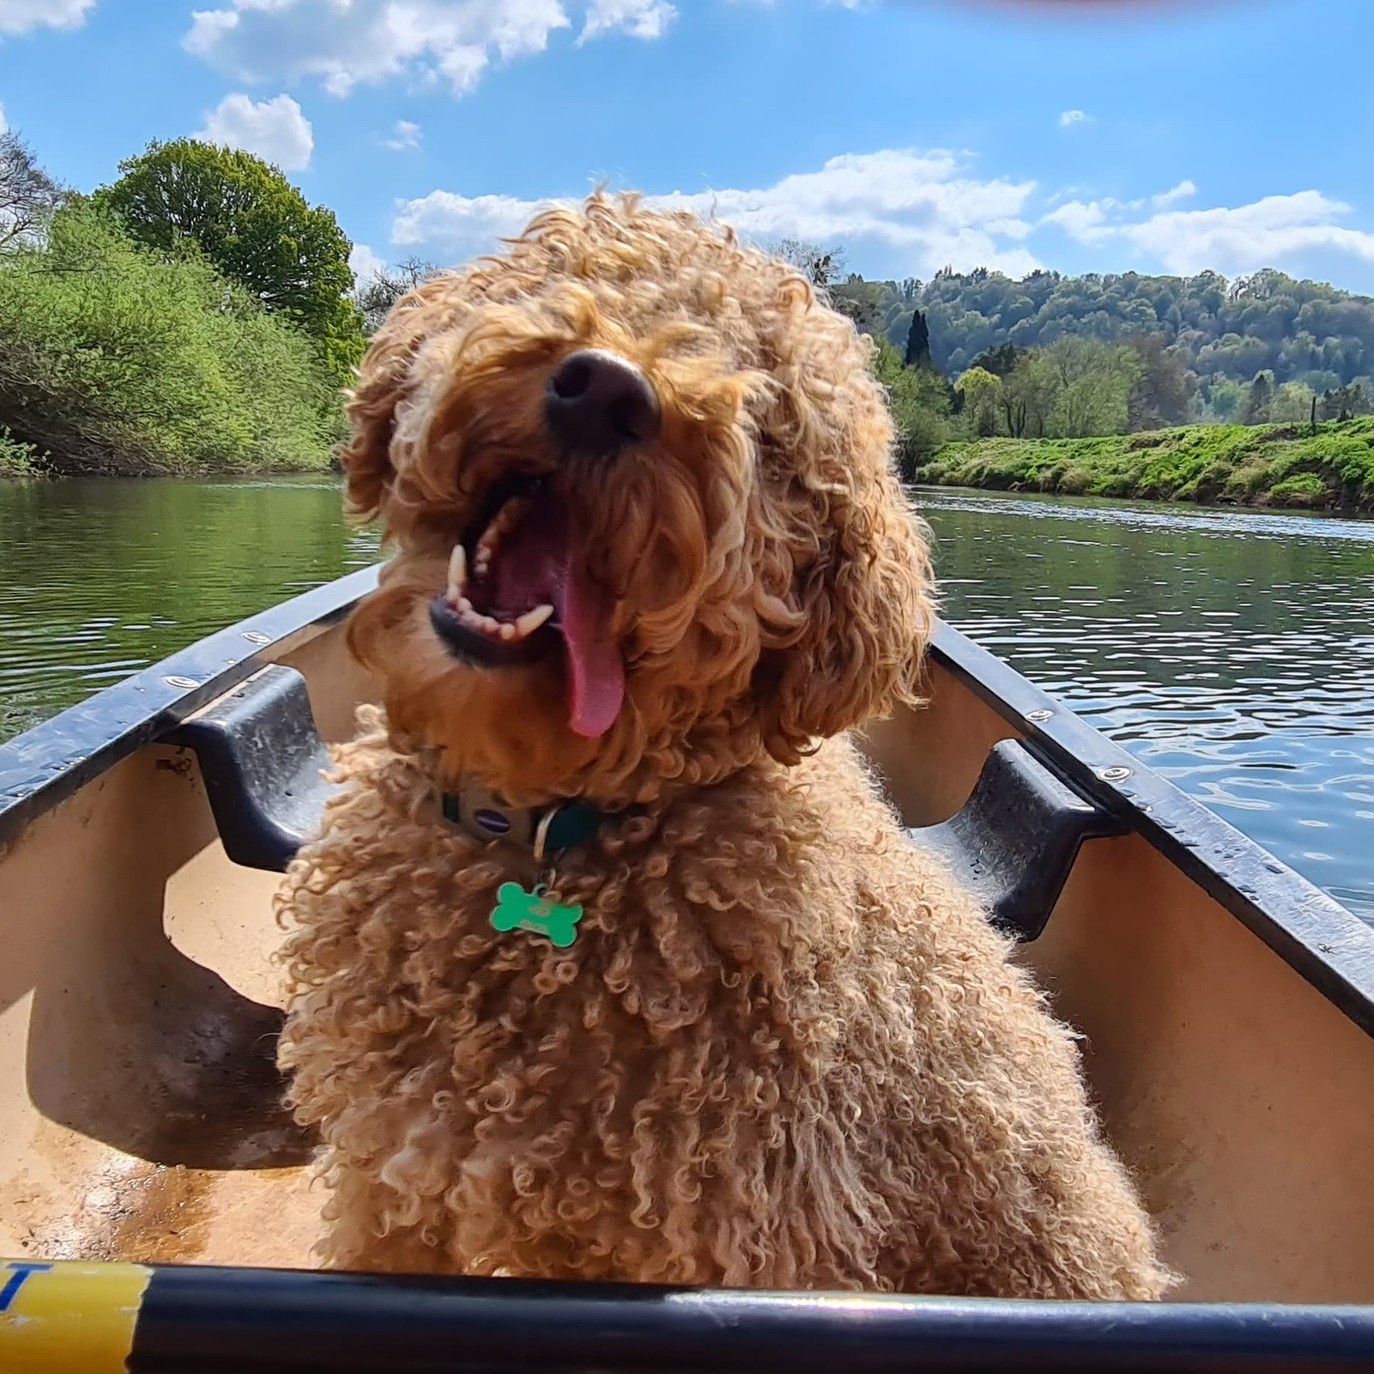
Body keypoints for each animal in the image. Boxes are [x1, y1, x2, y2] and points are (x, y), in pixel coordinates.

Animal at [273, 196, 1176, 1297]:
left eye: (769, 413)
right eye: (577, 274)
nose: (606, 391)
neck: (550, 831)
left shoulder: (755, 1226)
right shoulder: (393, 1175)